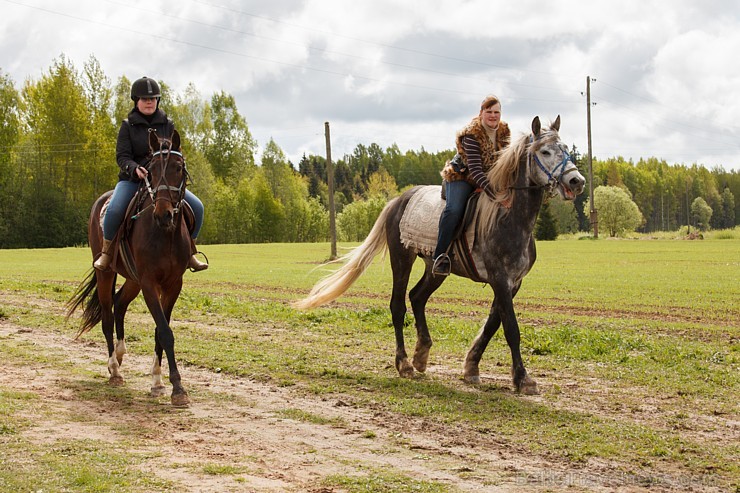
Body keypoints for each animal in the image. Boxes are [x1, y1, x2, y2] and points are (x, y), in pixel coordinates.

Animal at [67, 129, 192, 406]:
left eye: (178, 168)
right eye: (151, 170)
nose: (164, 214)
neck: (165, 234)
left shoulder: (173, 284)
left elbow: (160, 331)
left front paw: (158, 380)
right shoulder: (149, 283)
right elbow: (165, 332)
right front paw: (177, 388)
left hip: (132, 280)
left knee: (119, 303)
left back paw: (121, 354)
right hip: (107, 273)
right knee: (107, 314)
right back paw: (114, 369)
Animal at [292, 115, 588, 392]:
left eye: (565, 148)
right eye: (545, 151)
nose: (577, 181)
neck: (508, 215)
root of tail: (399, 200)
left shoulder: (513, 282)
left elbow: (493, 323)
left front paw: (471, 367)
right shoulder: (500, 279)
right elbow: (511, 328)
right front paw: (523, 379)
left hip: (436, 268)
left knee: (417, 296)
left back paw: (421, 354)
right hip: (402, 259)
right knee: (398, 305)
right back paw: (404, 364)